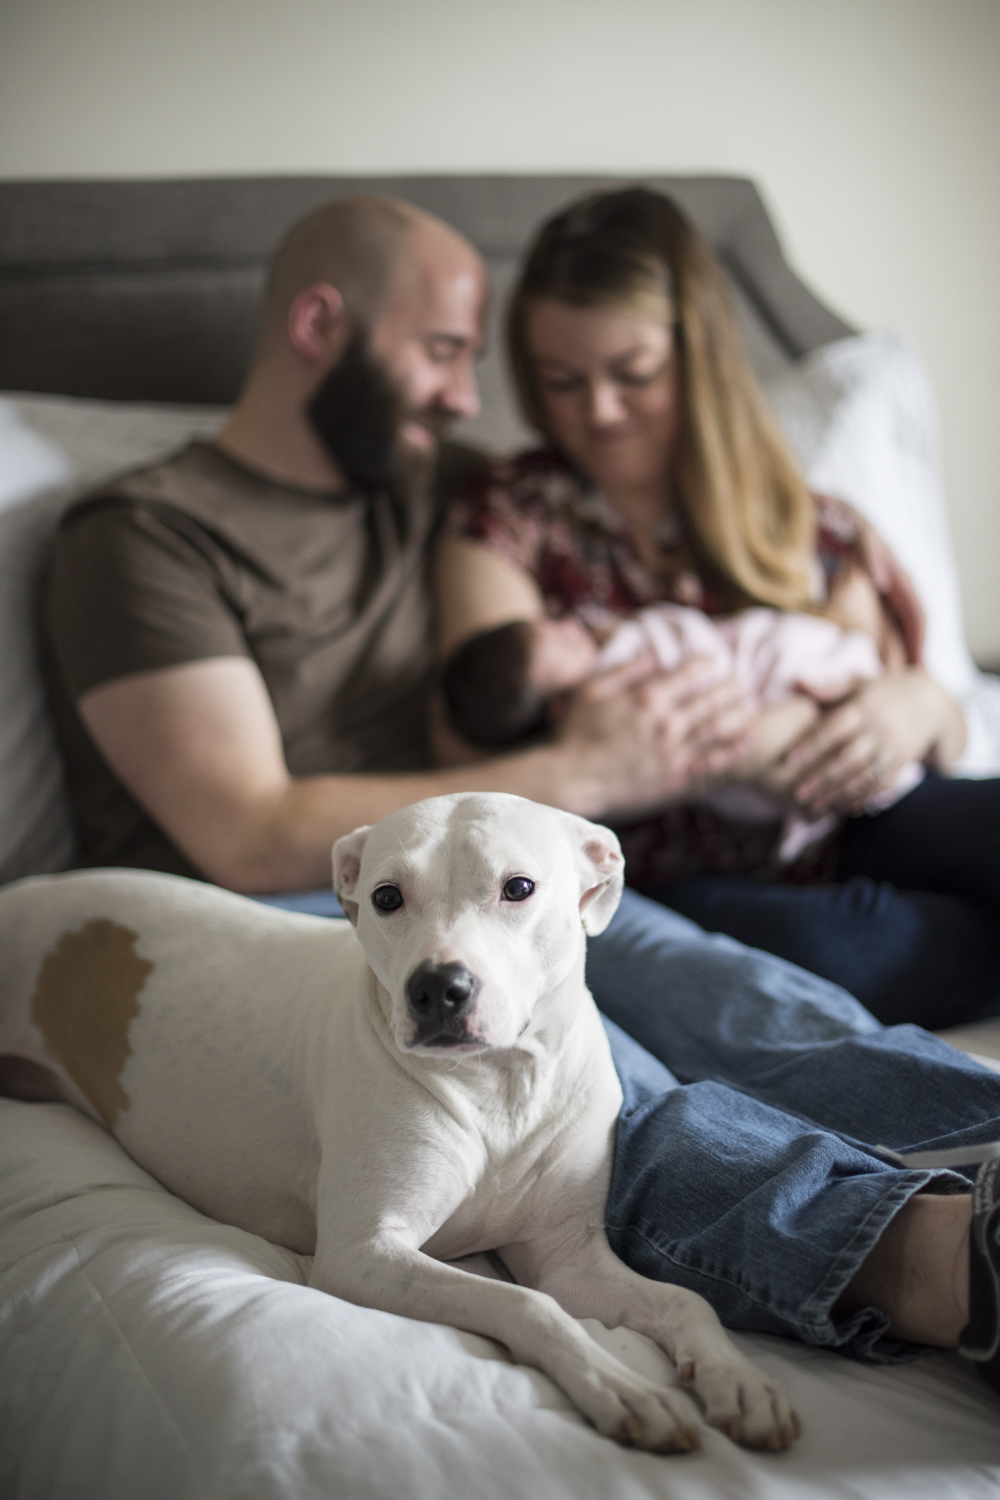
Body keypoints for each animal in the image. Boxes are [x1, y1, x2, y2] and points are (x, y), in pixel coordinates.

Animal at [0, 798, 797, 1452]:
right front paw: (622, 1386)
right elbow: (527, 1302)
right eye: (386, 897)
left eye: (518, 887)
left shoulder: (569, 1258)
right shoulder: (364, 1255)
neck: (499, 1086)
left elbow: (685, 1299)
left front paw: (737, 1379)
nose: (438, 988)